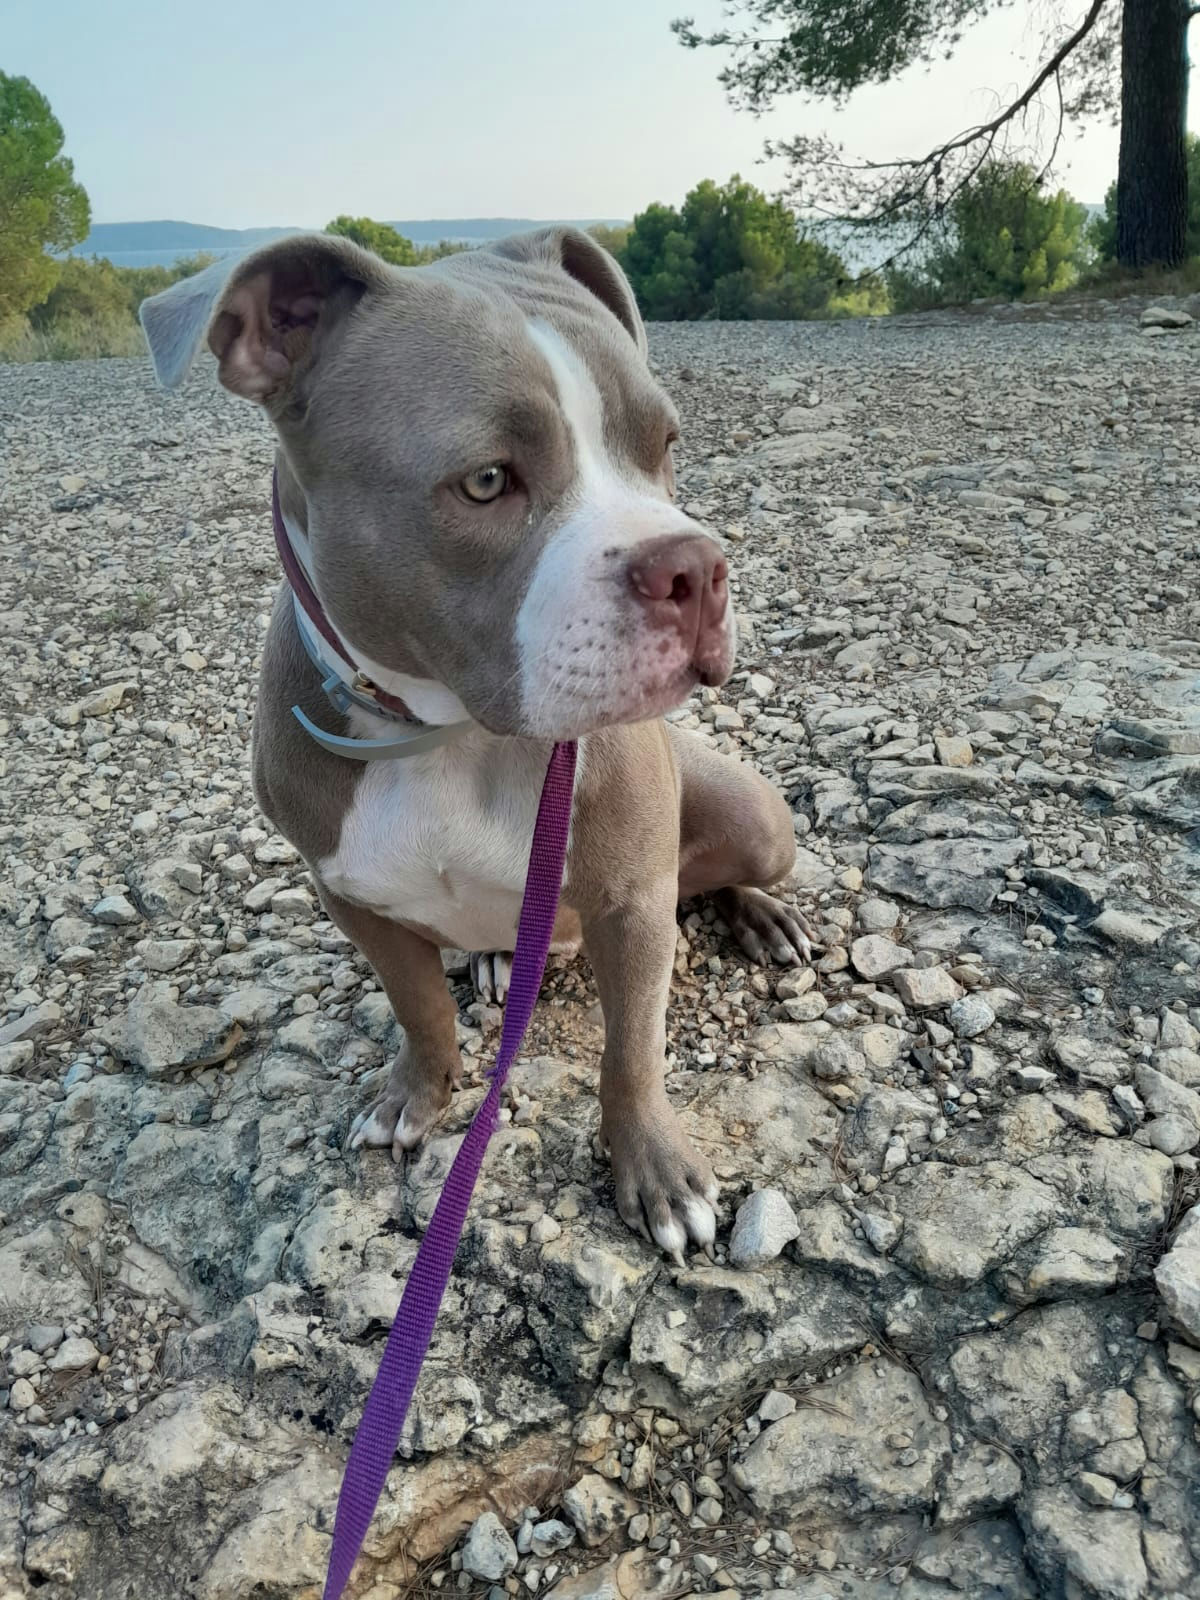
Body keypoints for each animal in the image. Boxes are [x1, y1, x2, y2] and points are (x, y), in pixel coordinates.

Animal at [143, 232, 819, 1267]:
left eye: (665, 446)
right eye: (488, 480)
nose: (697, 568)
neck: (445, 732)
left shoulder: (632, 899)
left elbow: (632, 1050)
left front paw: (657, 1173)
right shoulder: (351, 895)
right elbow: (418, 1007)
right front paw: (413, 1097)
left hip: (753, 815)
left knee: (721, 868)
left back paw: (765, 916)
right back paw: (500, 961)